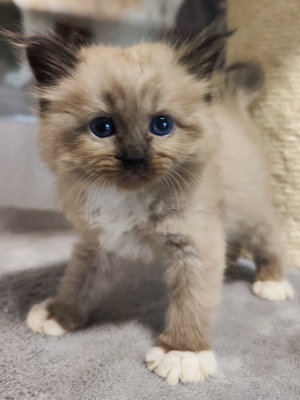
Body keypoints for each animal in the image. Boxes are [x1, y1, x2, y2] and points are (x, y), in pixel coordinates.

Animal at [5, 24, 294, 384]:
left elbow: (192, 303)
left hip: (252, 213)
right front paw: (60, 314)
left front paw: (183, 352)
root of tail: (228, 105)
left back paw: (272, 283)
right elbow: (78, 281)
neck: (131, 196)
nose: (135, 159)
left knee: (269, 243)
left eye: (162, 125)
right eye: (102, 127)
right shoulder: (98, 241)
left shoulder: (195, 246)